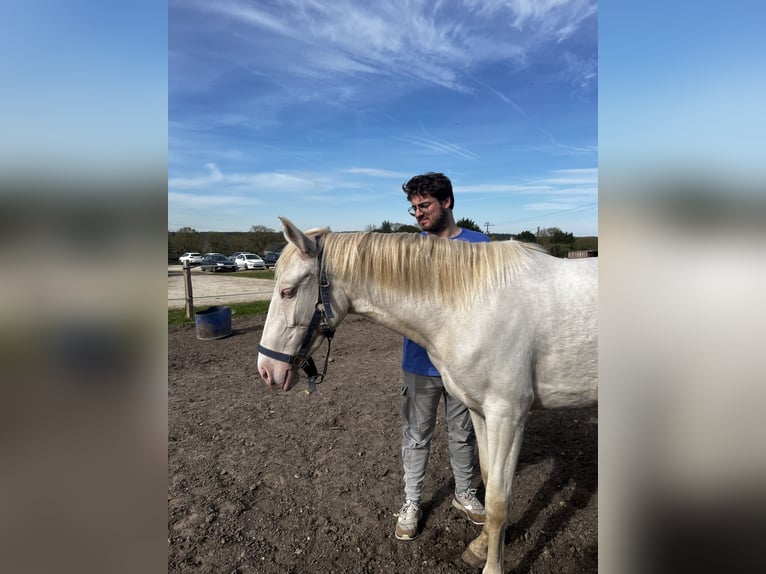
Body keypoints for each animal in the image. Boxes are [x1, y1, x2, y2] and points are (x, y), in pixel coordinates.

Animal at [257, 217, 597, 574]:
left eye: (288, 291)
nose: (266, 369)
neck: (473, 306)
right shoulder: (481, 412)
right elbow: (487, 479)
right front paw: (480, 547)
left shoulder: (509, 415)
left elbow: (498, 500)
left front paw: (492, 566)